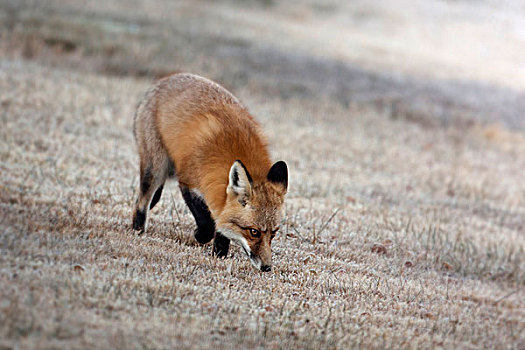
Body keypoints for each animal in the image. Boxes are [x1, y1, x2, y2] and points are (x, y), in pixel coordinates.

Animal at [130, 73, 286, 270]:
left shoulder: (220, 201)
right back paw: (137, 231)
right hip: (155, 169)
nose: (267, 268)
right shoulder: (188, 181)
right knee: (141, 202)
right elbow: (208, 225)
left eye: (274, 233)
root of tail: (165, 79)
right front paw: (200, 236)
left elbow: (221, 228)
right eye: (254, 232)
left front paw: (219, 255)